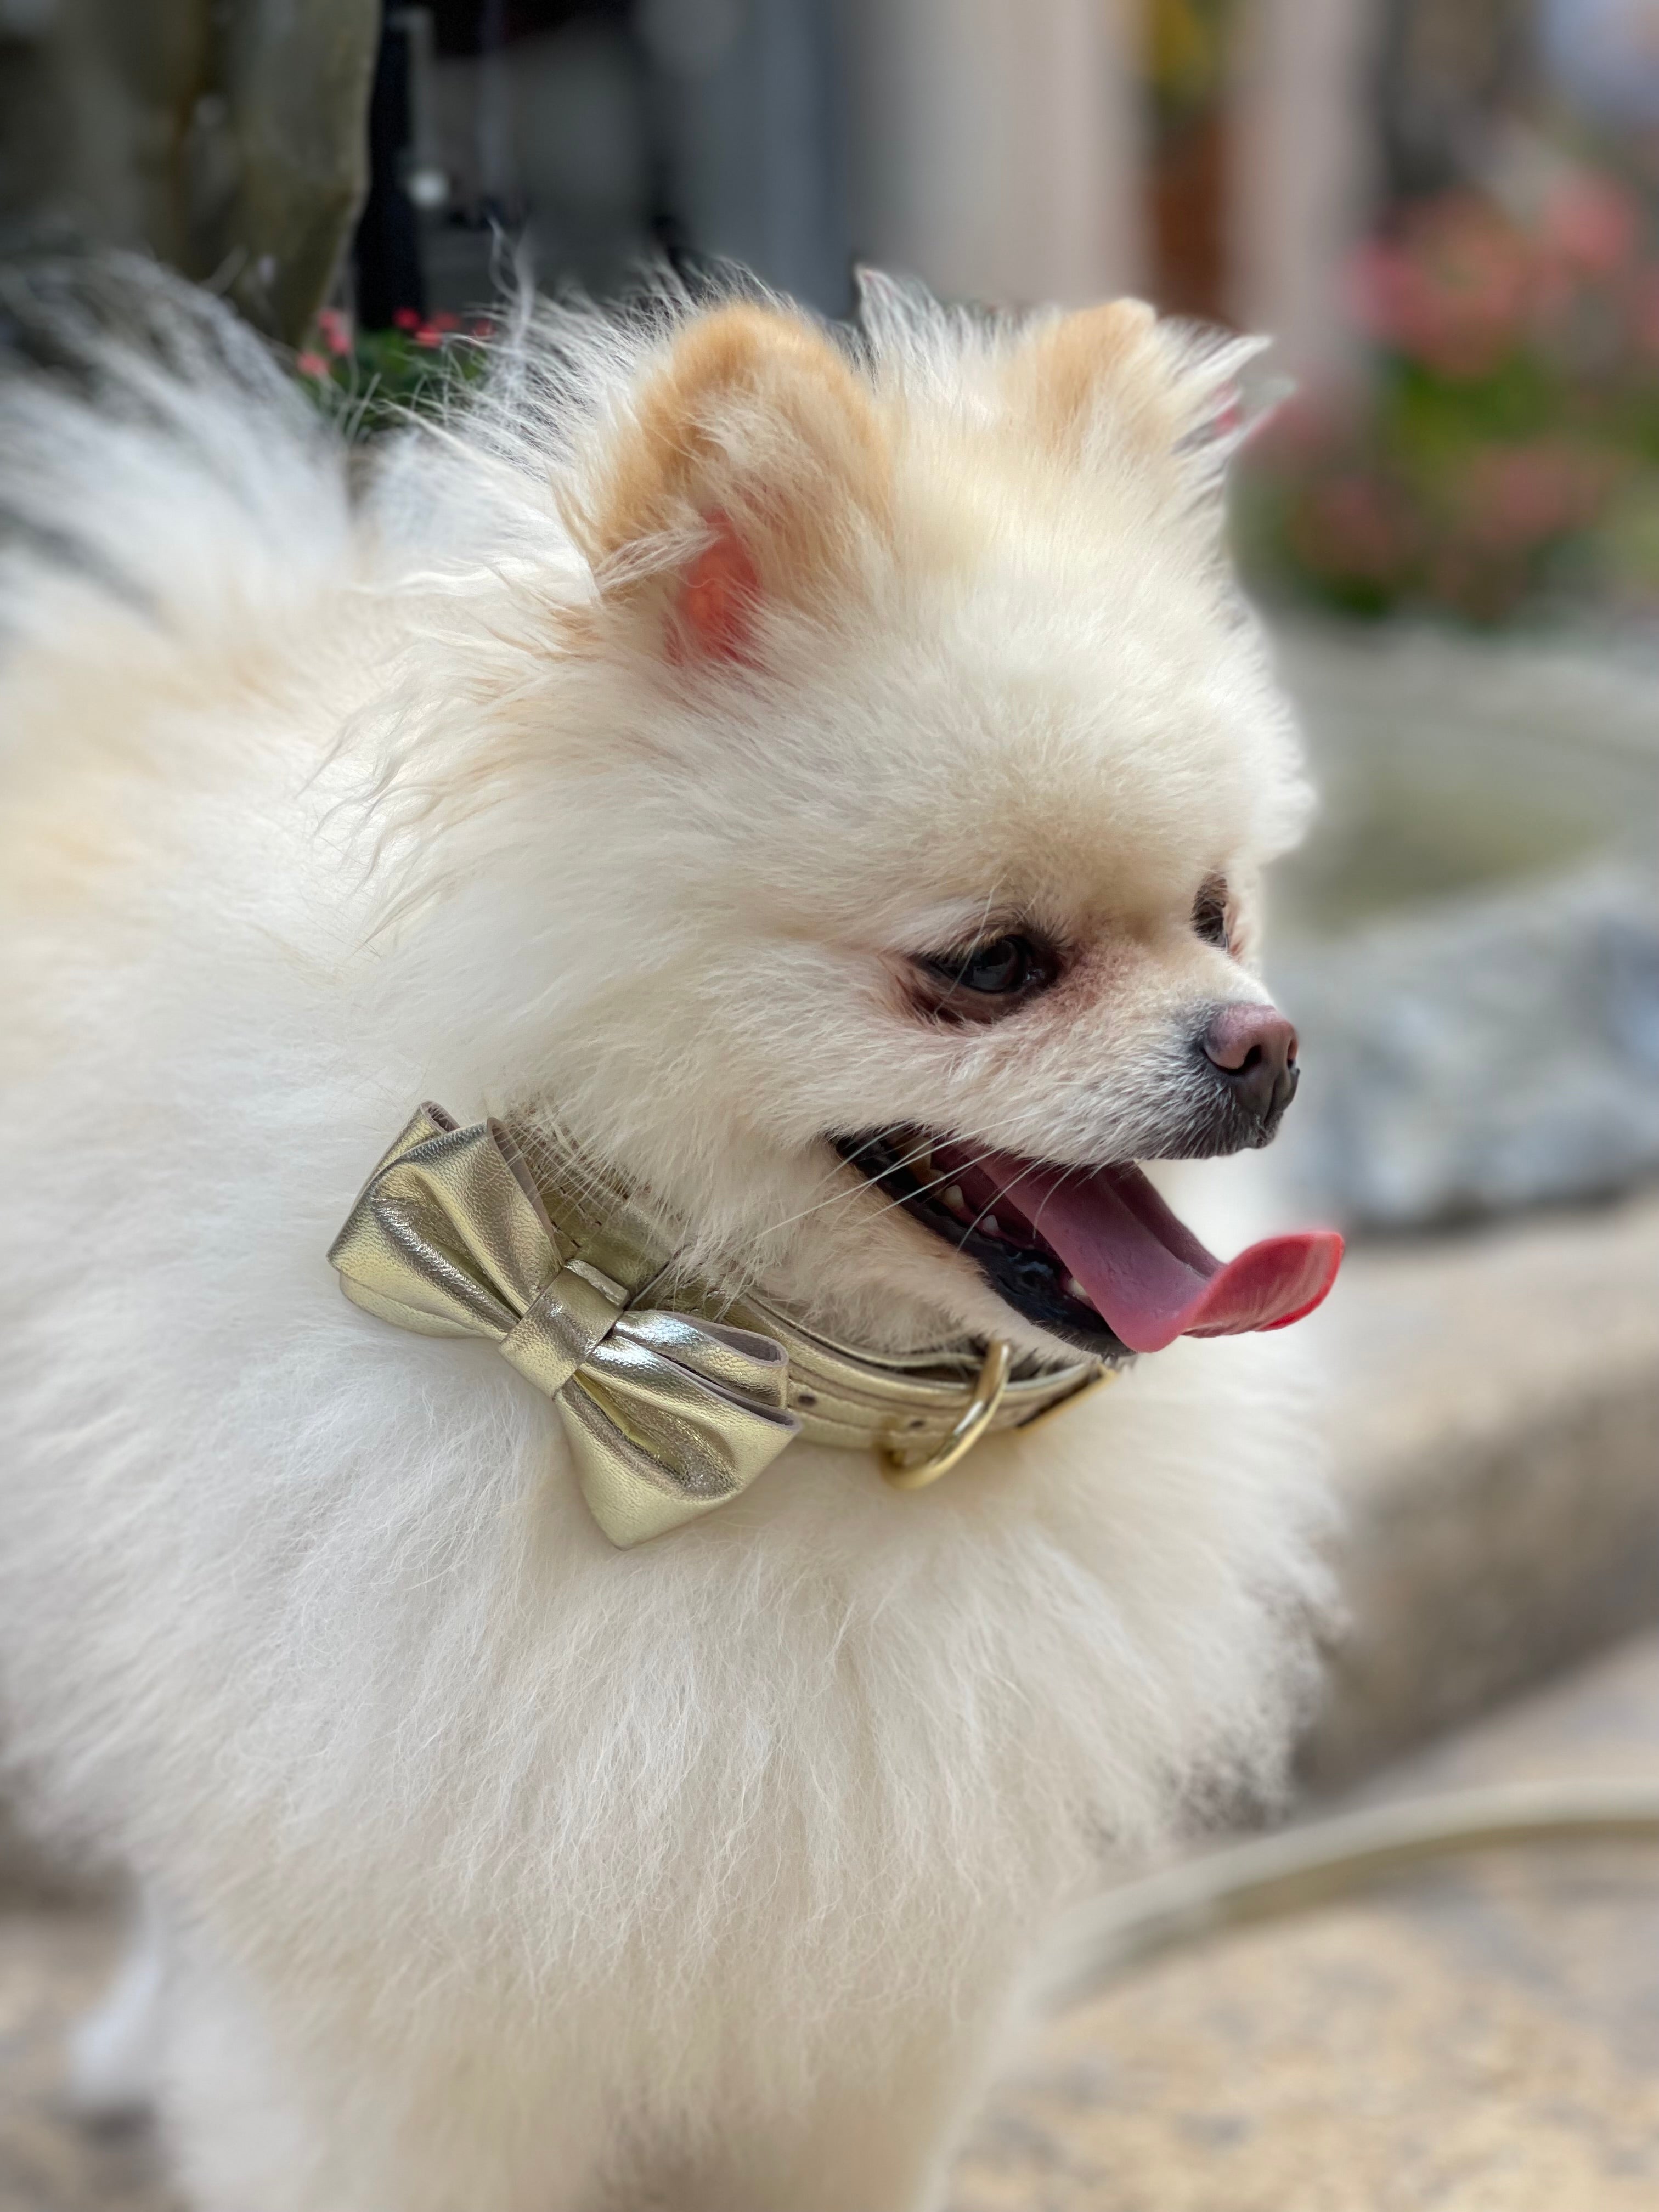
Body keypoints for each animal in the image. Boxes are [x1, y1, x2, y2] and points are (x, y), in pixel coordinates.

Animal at [0, 263, 1345, 2212]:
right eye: (992, 963)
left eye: (1219, 911)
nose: (1264, 1047)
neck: (746, 1384)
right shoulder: (385, 1981)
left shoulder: (870, 1994)